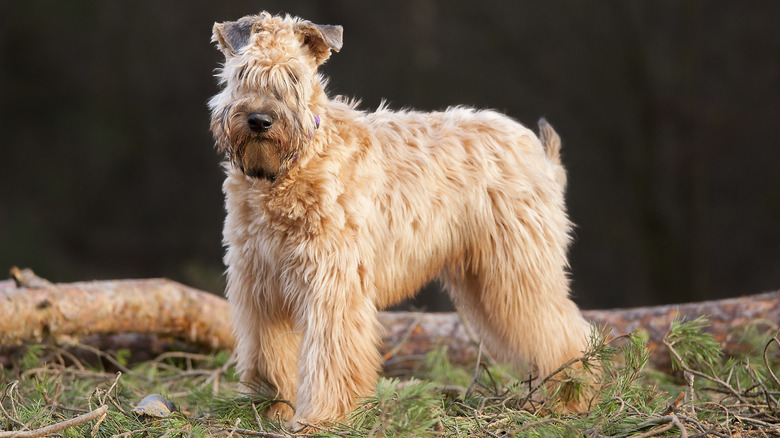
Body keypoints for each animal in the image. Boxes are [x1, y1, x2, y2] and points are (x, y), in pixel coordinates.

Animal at [207, 10, 592, 428]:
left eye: (293, 76)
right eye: (242, 73)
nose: (260, 120)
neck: (289, 171)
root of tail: (537, 150)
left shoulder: (331, 282)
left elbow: (330, 355)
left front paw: (323, 417)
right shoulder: (259, 284)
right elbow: (267, 355)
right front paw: (269, 408)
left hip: (519, 270)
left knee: (566, 331)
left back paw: (573, 398)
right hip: (487, 280)